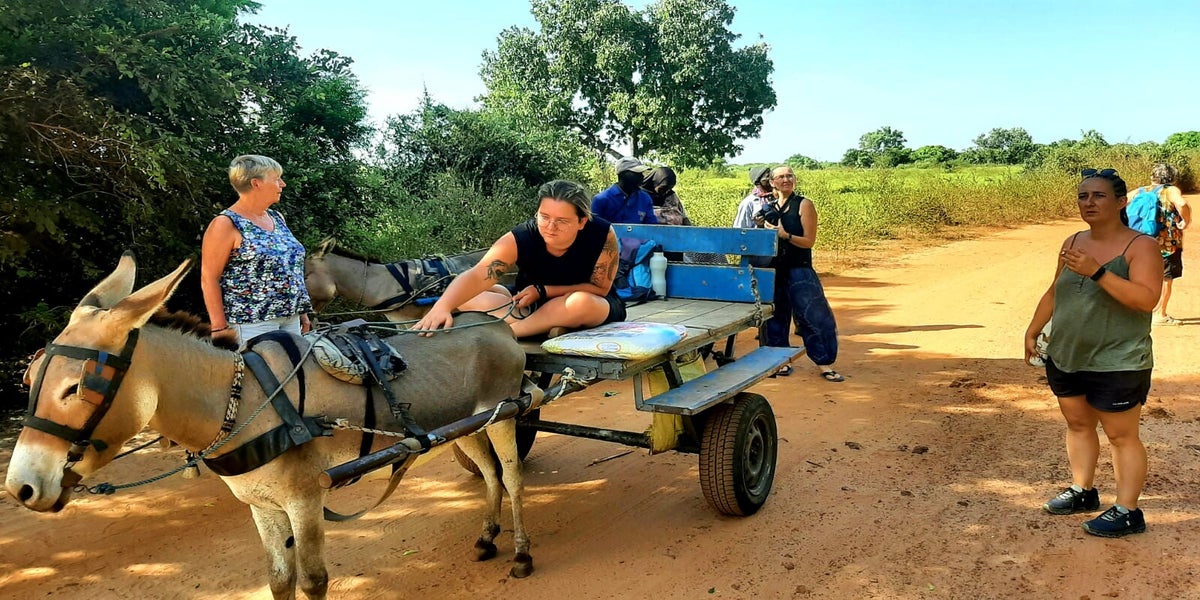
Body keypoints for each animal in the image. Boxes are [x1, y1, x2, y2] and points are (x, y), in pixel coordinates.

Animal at [5, 253, 533, 599]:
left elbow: (313, 580)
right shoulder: (261, 503)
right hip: (470, 424)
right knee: (488, 472)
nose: (19, 489)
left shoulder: (305, 499)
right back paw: (487, 538)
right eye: (29, 379)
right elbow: (279, 580)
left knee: (510, 476)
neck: (242, 403)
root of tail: (493, 322)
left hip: (505, 412)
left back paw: (522, 553)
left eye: (77, 387)